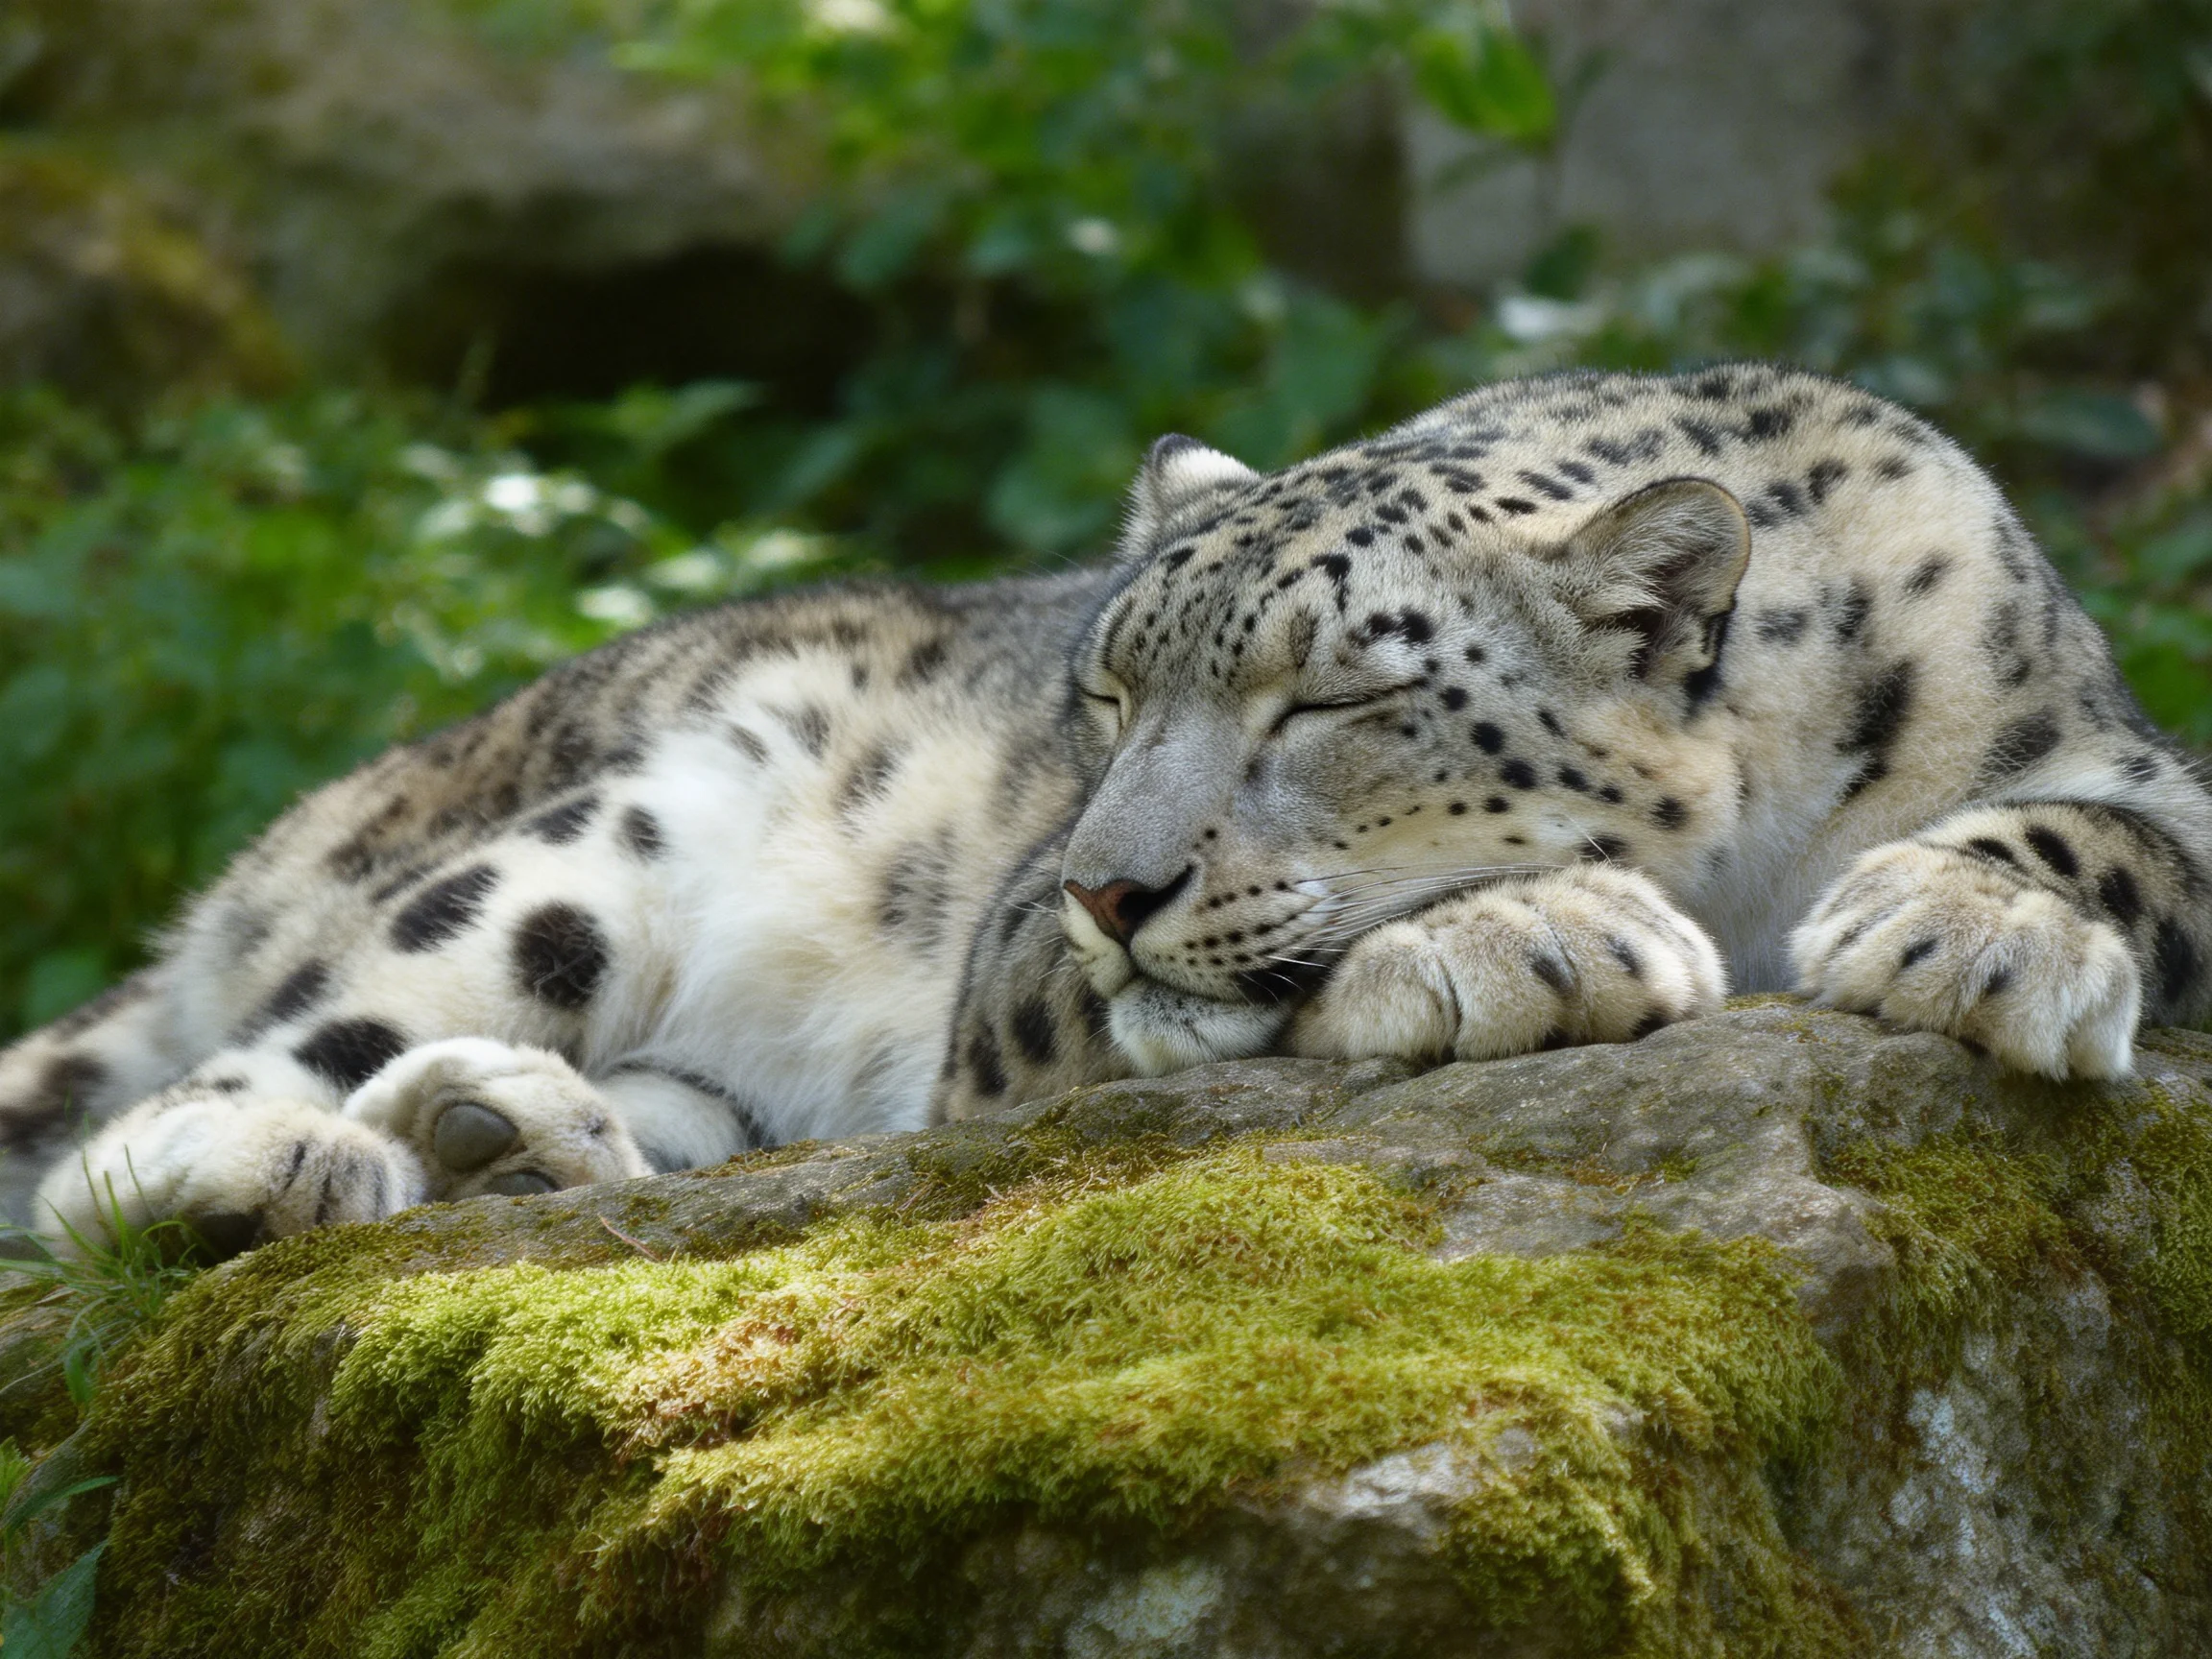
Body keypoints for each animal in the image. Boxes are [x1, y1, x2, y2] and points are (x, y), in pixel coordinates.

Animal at [6, 363, 2209, 1254]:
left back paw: (517, 1139)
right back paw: (289, 1171)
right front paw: (1527, 932)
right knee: (152, 1121)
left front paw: (1974, 929)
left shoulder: (2120, 755)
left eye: (1337, 692)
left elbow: (2122, 843)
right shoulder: (1006, 980)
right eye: (1106, 691)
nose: (1103, 888)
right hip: (573, 853)